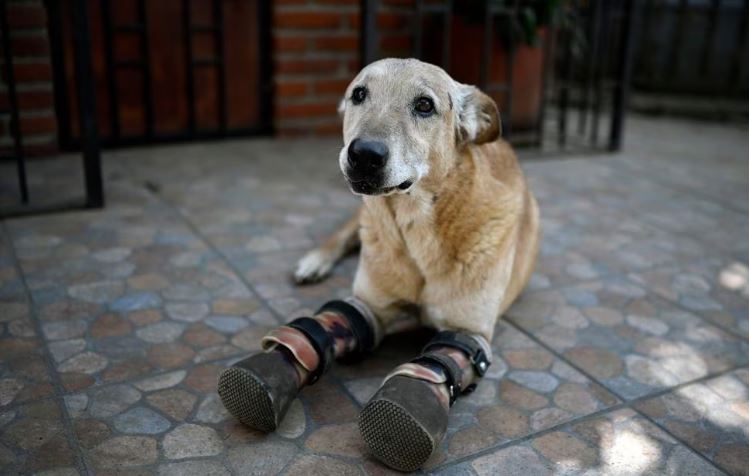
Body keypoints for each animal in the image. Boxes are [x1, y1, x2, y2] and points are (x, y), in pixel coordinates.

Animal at [292, 58, 536, 342]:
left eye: (424, 105)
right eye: (359, 94)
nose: (363, 155)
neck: (414, 223)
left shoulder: (467, 331)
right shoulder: (369, 307)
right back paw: (314, 262)